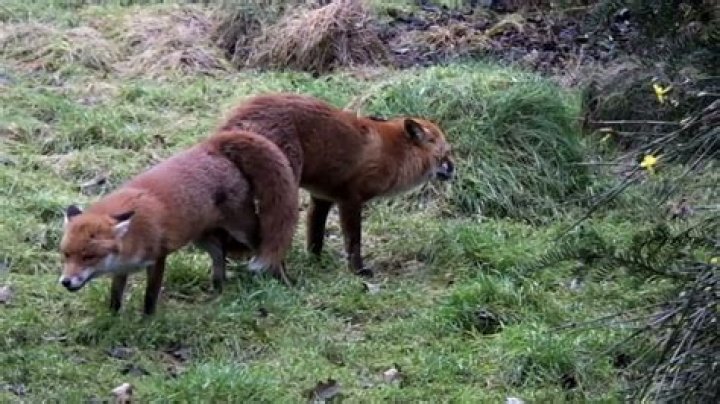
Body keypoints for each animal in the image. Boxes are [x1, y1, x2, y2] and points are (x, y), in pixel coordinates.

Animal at [58, 129, 298, 315]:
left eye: (89, 257)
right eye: (66, 255)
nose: (65, 282)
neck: (134, 234)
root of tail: (210, 146)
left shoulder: (157, 258)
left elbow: (150, 296)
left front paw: (147, 322)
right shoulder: (121, 269)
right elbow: (115, 297)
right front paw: (113, 319)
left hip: (242, 228)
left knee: (268, 246)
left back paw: (282, 281)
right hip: (200, 238)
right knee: (220, 254)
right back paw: (218, 291)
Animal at [218, 93, 455, 277]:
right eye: (446, 152)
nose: (454, 168)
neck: (393, 153)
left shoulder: (321, 198)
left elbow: (315, 237)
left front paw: (315, 263)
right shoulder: (351, 199)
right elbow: (353, 241)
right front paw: (358, 271)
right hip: (284, 187)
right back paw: (281, 275)